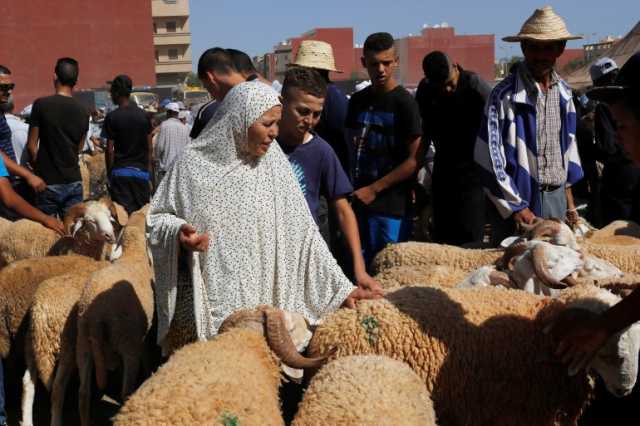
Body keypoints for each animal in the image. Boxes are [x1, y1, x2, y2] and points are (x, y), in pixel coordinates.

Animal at [73, 205, 154, 424]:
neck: (134, 254)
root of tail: (96, 315)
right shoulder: (140, 336)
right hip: (126, 343)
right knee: (125, 392)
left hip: (83, 343)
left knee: (83, 393)